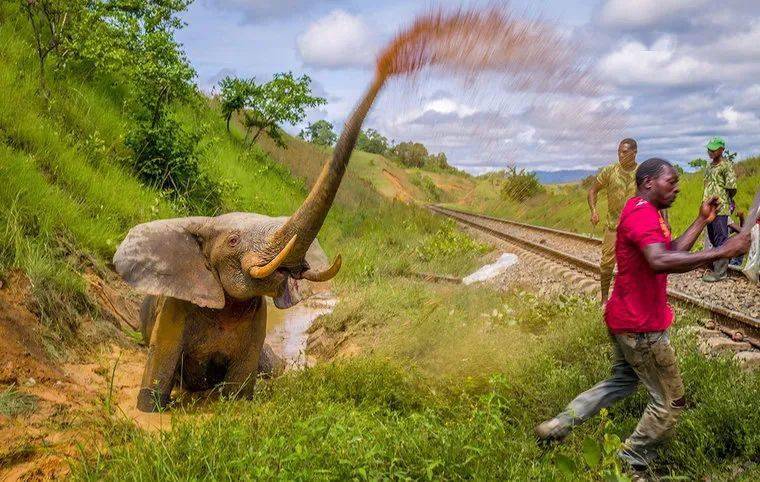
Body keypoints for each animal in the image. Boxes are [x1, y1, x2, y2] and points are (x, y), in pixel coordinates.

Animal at [114, 77, 386, 412]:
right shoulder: (175, 306)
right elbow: (160, 366)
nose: (385, 70)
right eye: (233, 241)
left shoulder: (258, 318)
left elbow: (241, 386)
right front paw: (150, 410)